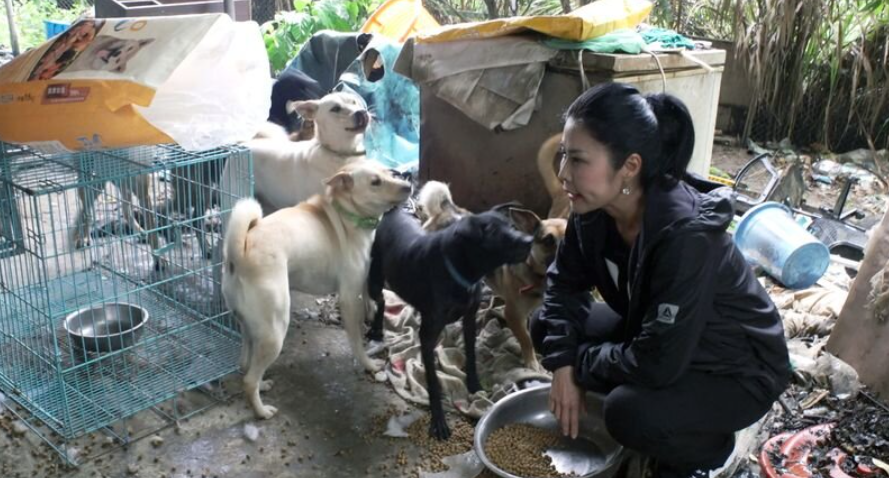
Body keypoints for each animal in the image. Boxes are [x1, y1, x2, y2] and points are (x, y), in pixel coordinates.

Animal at [222, 161, 410, 418]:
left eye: (390, 173)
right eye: (375, 182)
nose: (408, 185)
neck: (347, 213)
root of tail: (239, 253)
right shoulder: (349, 299)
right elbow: (357, 341)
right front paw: (369, 365)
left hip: (251, 326)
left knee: (246, 363)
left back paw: (262, 384)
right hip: (275, 331)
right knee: (249, 380)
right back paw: (262, 411)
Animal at [366, 207, 532, 438]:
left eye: (512, 225)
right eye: (495, 233)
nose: (530, 241)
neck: (459, 269)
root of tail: (394, 211)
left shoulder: (470, 320)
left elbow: (471, 355)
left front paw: (474, 384)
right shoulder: (427, 336)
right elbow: (433, 382)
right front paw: (439, 422)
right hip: (374, 278)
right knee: (380, 301)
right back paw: (376, 330)